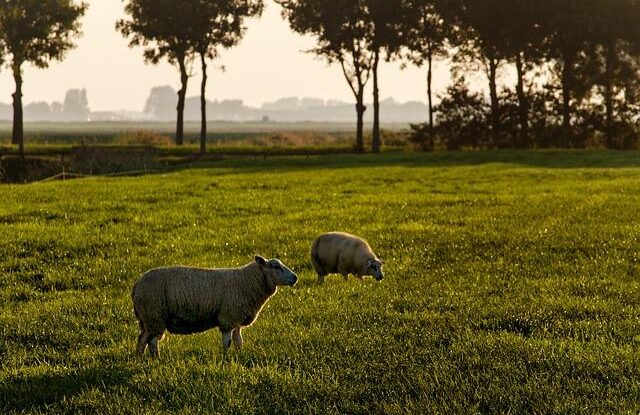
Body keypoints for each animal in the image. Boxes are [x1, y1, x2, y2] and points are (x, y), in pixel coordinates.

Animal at [132, 255, 300, 360]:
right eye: (276, 267)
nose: (295, 278)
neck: (248, 282)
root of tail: (136, 286)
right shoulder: (228, 318)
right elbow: (227, 342)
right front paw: (225, 359)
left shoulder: (237, 320)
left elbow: (239, 341)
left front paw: (240, 356)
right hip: (155, 316)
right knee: (152, 342)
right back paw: (156, 360)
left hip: (148, 319)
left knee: (142, 340)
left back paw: (140, 359)